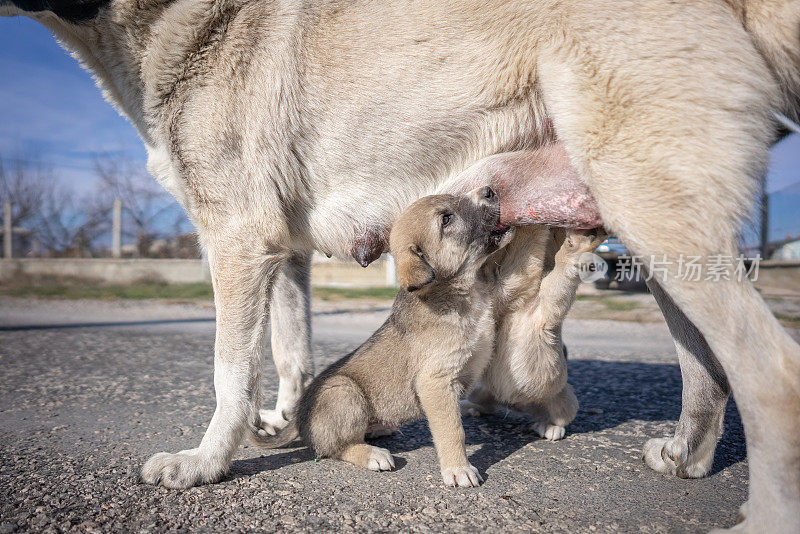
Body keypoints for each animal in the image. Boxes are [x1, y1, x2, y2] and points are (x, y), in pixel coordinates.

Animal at [258, 186, 520, 488]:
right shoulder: (436, 383)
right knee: (332, 448)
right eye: (446, 219)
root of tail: (298, 415)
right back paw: (372, 454)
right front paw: (458, 468)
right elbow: (453, 430)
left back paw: (378, 428)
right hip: (344, 392)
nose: (489, 190)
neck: (459, 291)